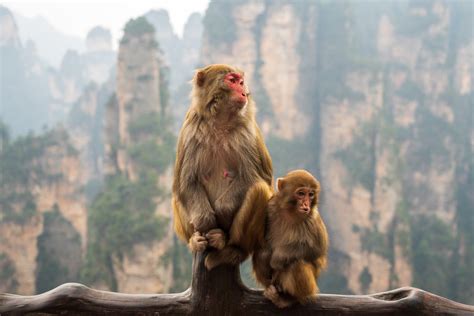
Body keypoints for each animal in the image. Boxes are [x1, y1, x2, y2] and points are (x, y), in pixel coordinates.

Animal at [172, 63, 272, 270]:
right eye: (232, 81)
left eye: (241, 82)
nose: (244, 91)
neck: (221, 120)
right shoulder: (191, 128)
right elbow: (185, 181)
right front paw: (206, 220)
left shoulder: (246, 134)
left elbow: (256, 177)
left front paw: (222, 213)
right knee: (177, 194)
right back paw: (194, 240)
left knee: (258, 190)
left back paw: (230, 248)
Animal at [252, 170, 330, 308]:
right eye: (301, 193)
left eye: (311, 194)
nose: (306, 204)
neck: (291, 211)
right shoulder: (270, 207)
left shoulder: (312, 218)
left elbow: (317, 249)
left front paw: (278, 258)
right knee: (262, 252)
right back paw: (270, 288)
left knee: (295, 263)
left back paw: (290, 298)